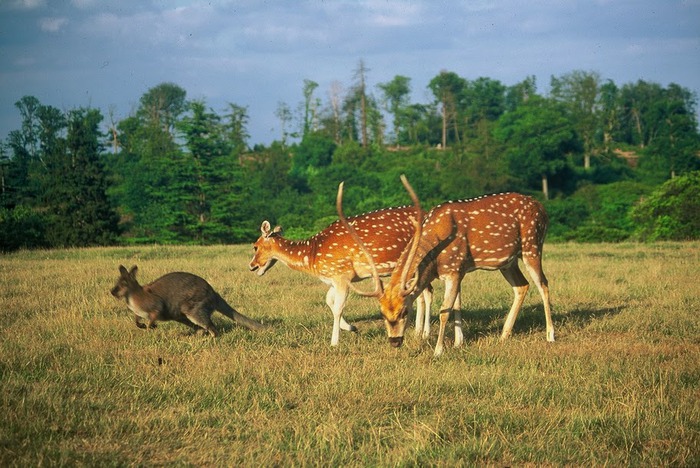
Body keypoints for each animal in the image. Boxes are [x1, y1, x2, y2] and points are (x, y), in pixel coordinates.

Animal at [110, 266, 264, 334]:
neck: (133, 295)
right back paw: (199, 335)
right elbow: (137, 319)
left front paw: (150, 327)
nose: (112, 292)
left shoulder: (156, 305)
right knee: (200, 327)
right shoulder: (138, 311)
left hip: (193, 307)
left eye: (123, 284)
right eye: (117, 282)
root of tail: (213, 293)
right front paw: (142, 325)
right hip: (180, 315)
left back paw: (211, 338)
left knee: (210, 326)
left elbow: (155, 313)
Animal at [246, 204, 432, 344]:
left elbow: (338, 307)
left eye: (255, 246)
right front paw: (351, 328)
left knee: (426, 293)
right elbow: (329, 300)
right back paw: (419, 332)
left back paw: (424, 333)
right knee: (422, 293)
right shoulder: (334, 277)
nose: (251, 266)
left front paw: (334, 342)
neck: (313, 257)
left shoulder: (342, 273)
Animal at [342, 177, 556, 356]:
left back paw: (550, 335)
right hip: (508, 261)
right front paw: (458, 342)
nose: (394, 341)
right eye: (382, 313)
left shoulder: (453, 268)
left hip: (532, 244)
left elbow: (445, 310)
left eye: (404, 311)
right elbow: (457, 304)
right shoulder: (458, 269)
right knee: (522, 286)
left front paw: (439, 350)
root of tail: (543, 209)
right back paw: (504, 335)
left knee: (543, 284)